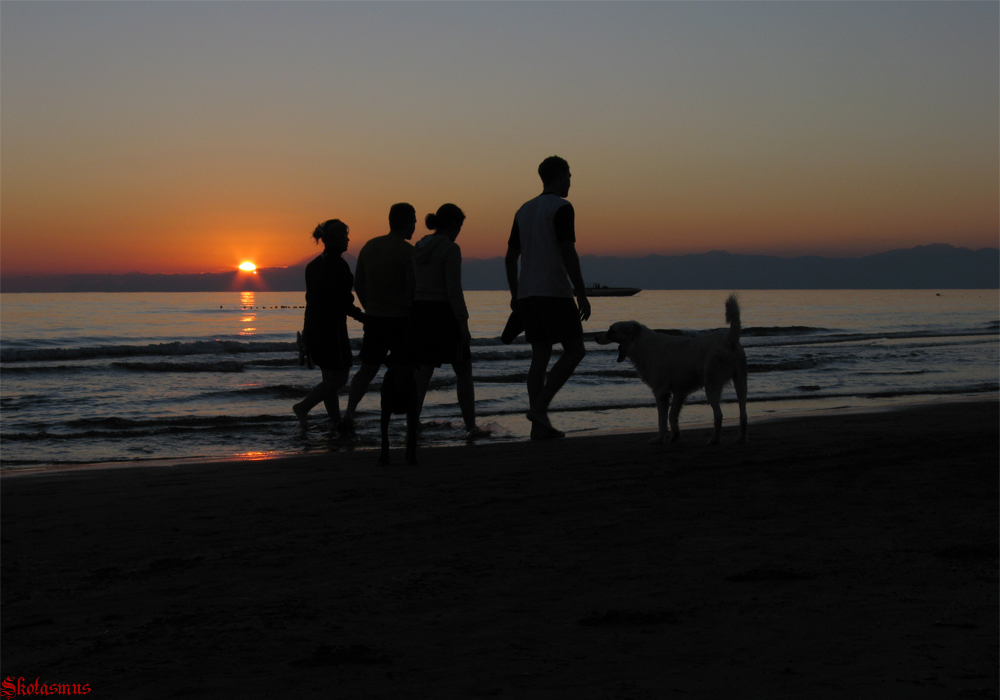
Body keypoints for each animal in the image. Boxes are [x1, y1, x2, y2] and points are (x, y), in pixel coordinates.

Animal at [592, 292, 752, 446]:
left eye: (611, 330)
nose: (595, 337)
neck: (641, 344)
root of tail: (729, 339)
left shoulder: (661, 392)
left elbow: (662, 419)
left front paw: (659, 439)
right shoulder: (679, 392)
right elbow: (672, 415)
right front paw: (674, 435)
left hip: (712, 384)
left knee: (718, 414)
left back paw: (714, 440)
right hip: (740, 381)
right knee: (743, 413)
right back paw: (741, 438)